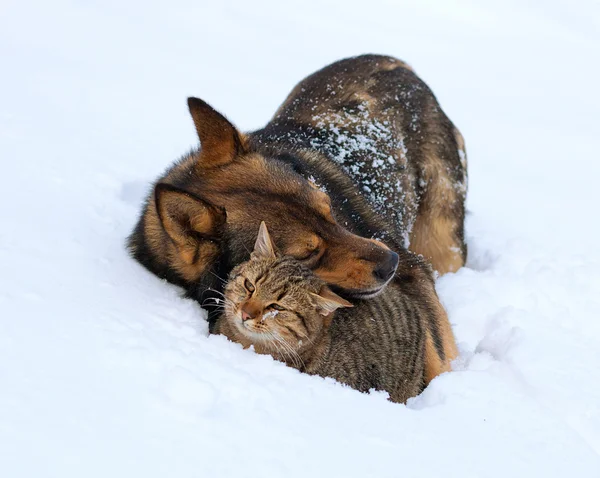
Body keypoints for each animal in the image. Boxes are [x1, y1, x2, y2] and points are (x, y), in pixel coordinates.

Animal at [126, 54, 466, 380]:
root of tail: (391, 62)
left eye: (329, 210)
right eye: (307, 254)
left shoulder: (417, 279)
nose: (392, 264)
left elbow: (439, 355)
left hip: (443, 245)